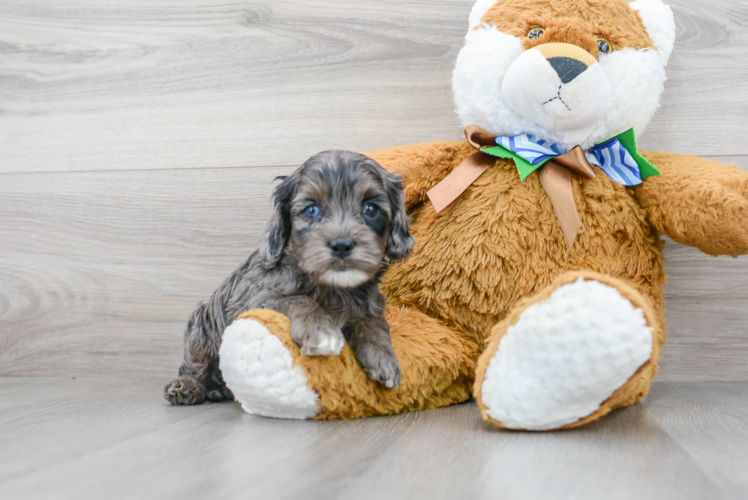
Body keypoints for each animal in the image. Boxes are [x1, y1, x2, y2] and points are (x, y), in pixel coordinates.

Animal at [164, 150, 418, 404]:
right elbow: (299, 299)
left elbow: (375, 324)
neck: (331, 286)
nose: (342, 245)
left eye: (371, 209)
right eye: (312, 210)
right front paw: (320, 330)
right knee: (194, 365)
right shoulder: (258, 300)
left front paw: (384, 358)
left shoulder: (369, 306)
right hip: (200, 331)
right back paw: (188, 387)